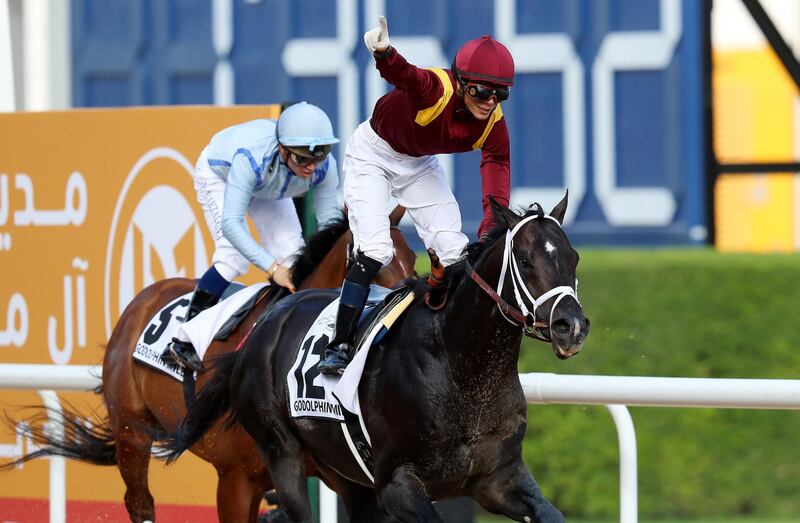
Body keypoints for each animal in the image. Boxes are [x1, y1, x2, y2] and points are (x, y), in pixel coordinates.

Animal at [4, 209, 418, 523]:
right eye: (376, 265)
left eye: (414, 258)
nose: (404, 312)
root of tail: (143, 298)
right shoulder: (236, 480)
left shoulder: (343, 479)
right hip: (130, 432)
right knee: (140, 503)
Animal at [164, 195, 588, 523]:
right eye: (526, 260)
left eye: (574, 257)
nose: (572, 326)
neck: (462, 369)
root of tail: (266, 322)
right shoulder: (397, 484)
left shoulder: (499, 479)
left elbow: (550, 513)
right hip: (281, 455)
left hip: (343, 474)